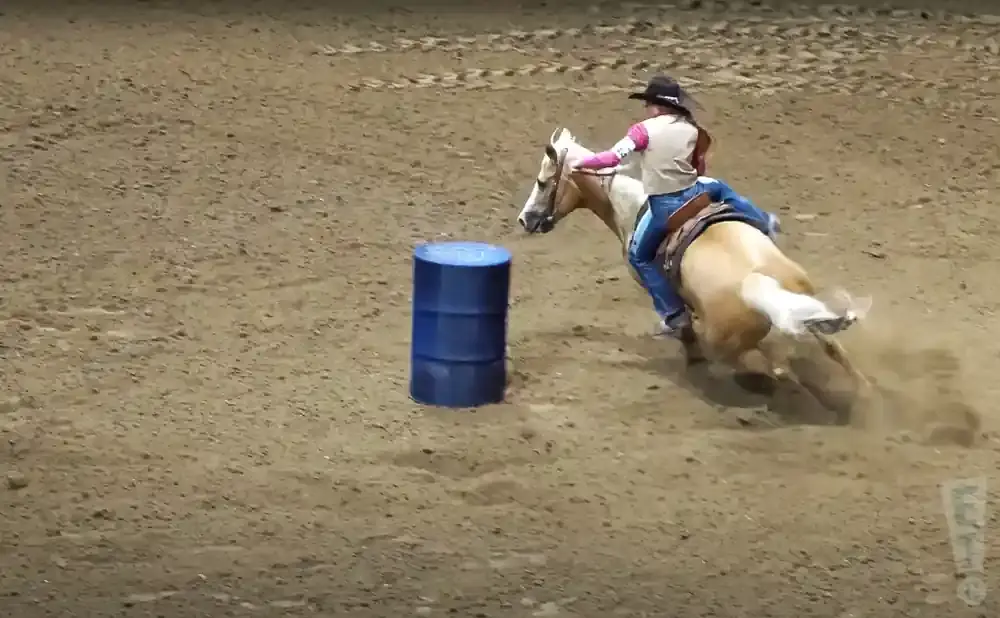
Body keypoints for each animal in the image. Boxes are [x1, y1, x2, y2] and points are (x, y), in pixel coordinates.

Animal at [516, 127, 873, 419]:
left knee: (776, 371)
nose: (525, 219)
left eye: (542, 182)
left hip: (732, 343)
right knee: (830, 352)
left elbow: (683, 325)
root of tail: (760, 285)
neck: (633, 205)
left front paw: (691, 357)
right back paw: (864, 396)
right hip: (805, 316)